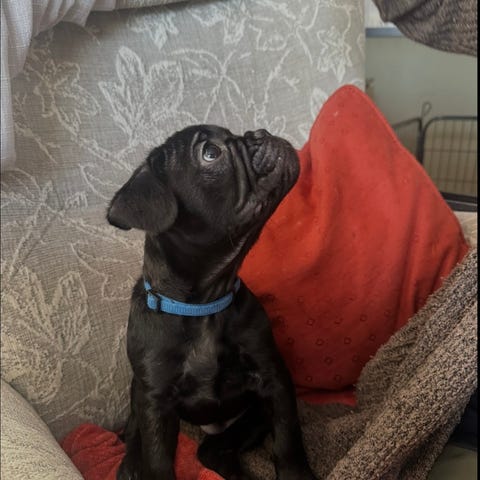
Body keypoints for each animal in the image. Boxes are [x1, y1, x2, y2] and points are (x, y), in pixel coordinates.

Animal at [107, 125, 316, 480]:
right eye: (210, 153)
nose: (259, 133)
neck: (203, 306)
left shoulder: (273, 377)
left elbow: (288, 438)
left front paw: (297, 475)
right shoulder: (155, 401)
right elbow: (157, 459)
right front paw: (143, 463)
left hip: (249, 419)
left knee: (213, 451)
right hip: (138, 392)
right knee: (136, 430)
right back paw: (131, 464)